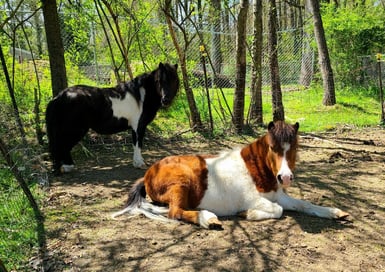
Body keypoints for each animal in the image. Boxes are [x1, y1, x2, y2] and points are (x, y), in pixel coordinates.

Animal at [45, 62, 178, 174]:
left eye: (174, 80)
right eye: (159, 81)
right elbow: (138, 143)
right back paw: (67, 167)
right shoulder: (138, 126)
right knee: (62, 146)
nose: (166, 100)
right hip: (74, 130)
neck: (141, 97)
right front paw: (139, 163)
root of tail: (60, 96)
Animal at [112, 120, 348, 228]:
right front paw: (246, 214)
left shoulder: (279, 195)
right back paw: (208, 219)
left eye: (295, 148)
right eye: (273, 148)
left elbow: (304, 204)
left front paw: (335, 212)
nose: (286, 177)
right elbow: (279, 210)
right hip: (181, 184)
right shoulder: (257, 199)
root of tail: (148, 173)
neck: (256, 171)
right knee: (175, 212)